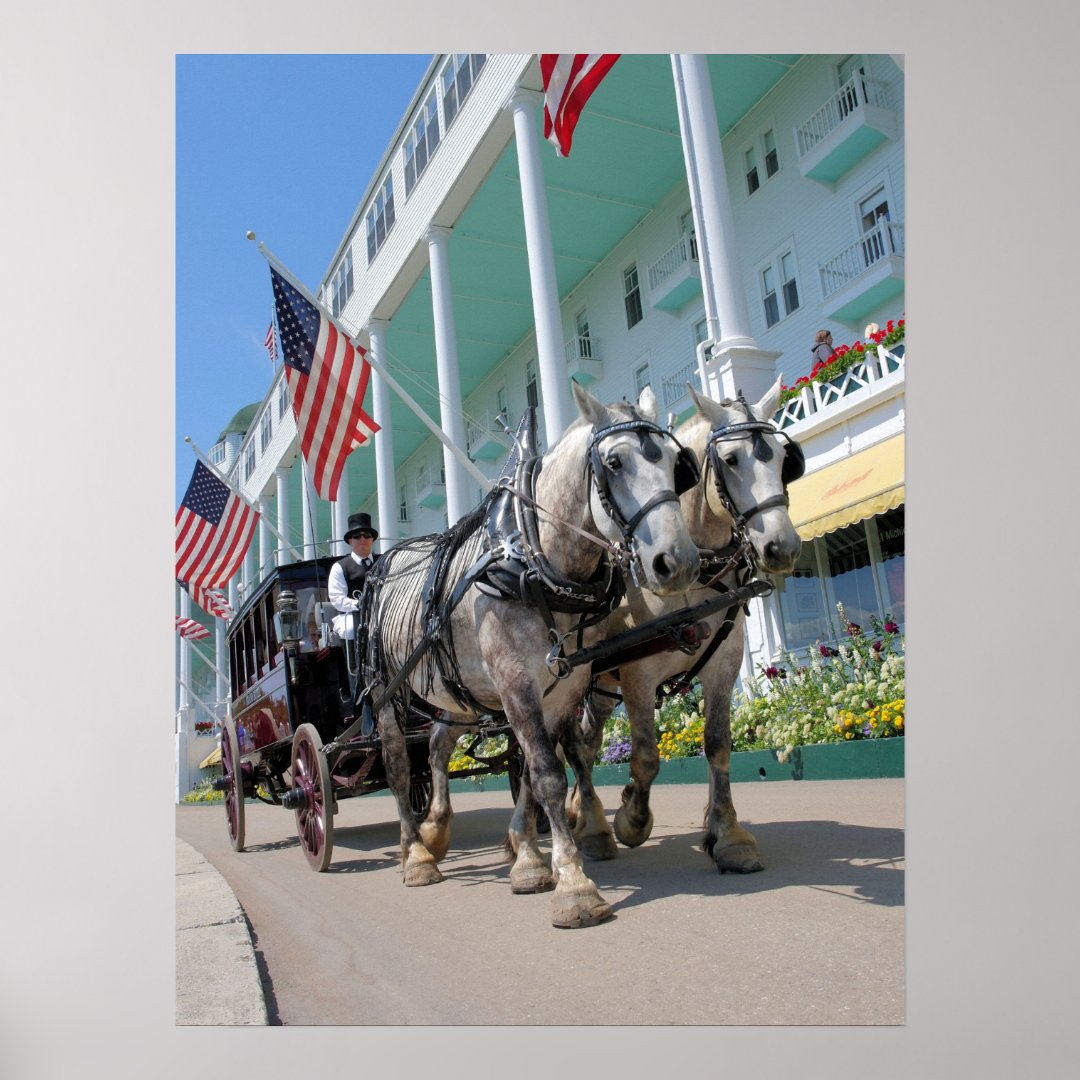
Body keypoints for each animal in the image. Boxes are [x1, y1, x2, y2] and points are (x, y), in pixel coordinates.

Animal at [362, 382, 699, 928]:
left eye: (676, 463)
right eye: (614, 462)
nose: (679, 562)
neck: (539, 562)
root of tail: (381, 563)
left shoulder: (563, 687)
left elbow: (537, 771)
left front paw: (530, 859)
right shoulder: (515, 683)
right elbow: (546, 774)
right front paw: (574, 885)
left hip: (458, 694)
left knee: (435, 746)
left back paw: (436, 830)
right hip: (386, 691)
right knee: (396, 765)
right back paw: (415, 854)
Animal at [565, 375, 803, 872]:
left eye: (783, 457)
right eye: (731, 460)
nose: (782, 547)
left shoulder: (724, 663)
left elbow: (718, 744)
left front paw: (727, 835)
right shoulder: (638, 673)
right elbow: (645, 756)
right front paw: (632, 817)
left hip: (602, 685)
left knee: (588, 739)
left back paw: (581, 812)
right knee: (573, 743)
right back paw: (590, 824)